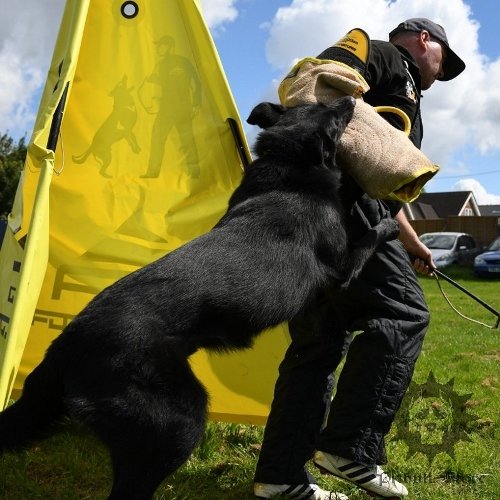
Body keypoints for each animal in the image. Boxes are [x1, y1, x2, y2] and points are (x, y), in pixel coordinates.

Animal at [0, 95, 398, 498]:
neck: (289, 163)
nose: (351, 98)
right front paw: (388, 222)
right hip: (179, 420)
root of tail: (66, 345)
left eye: (323, 103)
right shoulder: (340, 272)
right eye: (334, 117)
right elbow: (368, 238)